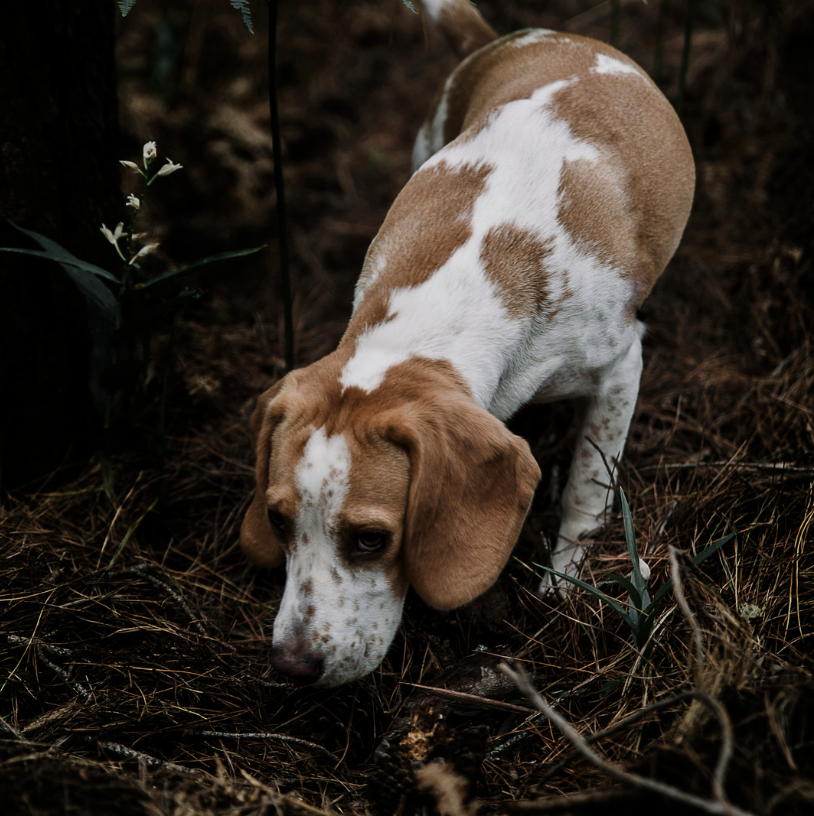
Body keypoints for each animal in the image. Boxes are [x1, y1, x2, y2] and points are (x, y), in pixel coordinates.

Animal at [241, 0, 696, 688]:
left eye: (371, 539)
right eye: (277, 520)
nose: (291, 666)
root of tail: (517, 37)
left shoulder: (621, 365)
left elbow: (587, 485)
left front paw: (565, 583)